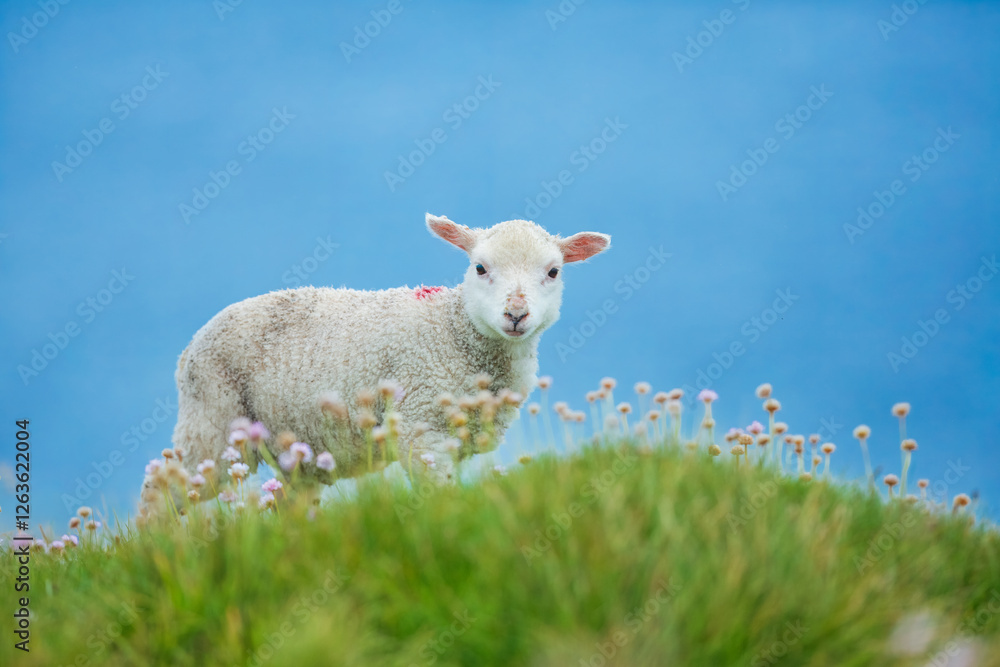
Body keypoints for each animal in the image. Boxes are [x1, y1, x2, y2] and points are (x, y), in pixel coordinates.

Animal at [139, 213, 609, 510]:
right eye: (479, 267)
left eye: (553, 272)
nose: (515, 314)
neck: (453, 331)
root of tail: (189, 348)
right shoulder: (421, 428)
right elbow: (439, 496)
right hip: (212, 418)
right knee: (163, 488)